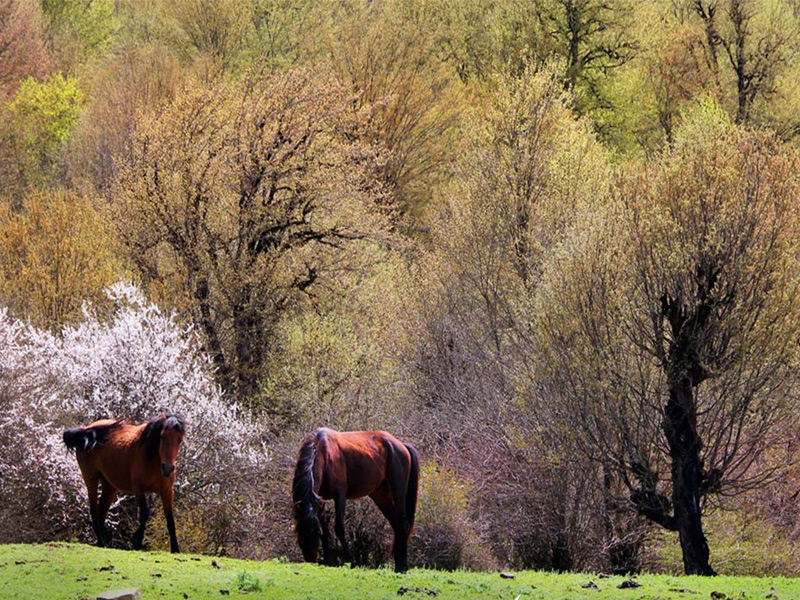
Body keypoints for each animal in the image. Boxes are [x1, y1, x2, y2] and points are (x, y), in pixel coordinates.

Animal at [63, 412, 186, 552]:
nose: (168, 468)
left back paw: (102, 543)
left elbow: (170, 519)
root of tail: (87, 430)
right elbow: (144, 513)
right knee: (94, 511)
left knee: (101, 512)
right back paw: (101, 542)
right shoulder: (138, 489)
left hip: (109, 486)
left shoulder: (167, 491)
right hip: (91, 478)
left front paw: (175, 549)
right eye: (162, 436)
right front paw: (137, 541)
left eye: (180, 440)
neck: (151, 459)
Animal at [292, 428, 418, 576]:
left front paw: (350, 562)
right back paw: (398, 565)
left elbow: (339, 528)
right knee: (396, 525)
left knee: (402, 524)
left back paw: (402, 567)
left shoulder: (340, 495)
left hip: (398, 493)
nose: (310, 562)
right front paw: (329, 561)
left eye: (316, 533)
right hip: (380, 496)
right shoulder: (320, 500)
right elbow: (326, 529)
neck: (324, 451)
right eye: (299, 534)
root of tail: (401, 445)